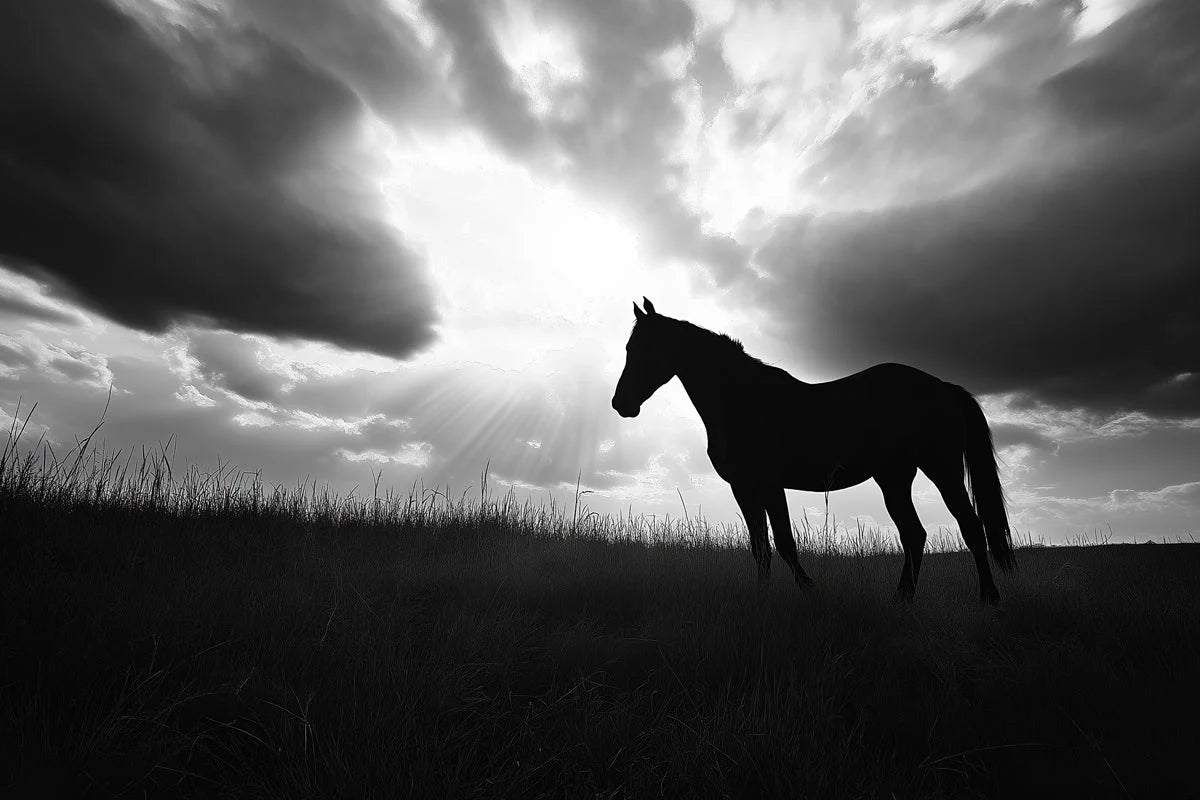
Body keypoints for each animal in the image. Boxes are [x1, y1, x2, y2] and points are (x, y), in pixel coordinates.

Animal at [611, 298, 1015, 604]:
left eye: (646, 349)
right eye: (629, 348)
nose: (620, 404)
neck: (741, 400)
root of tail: (945, 388)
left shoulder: (769, 485)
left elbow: (785, 543)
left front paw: (809, 589)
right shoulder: (744, 488)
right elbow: (760, 547)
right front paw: (762, 597)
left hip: (942, 469)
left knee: (970, 526)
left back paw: (989, 597)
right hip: (894, 478)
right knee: (914, 535)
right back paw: (902, 599)